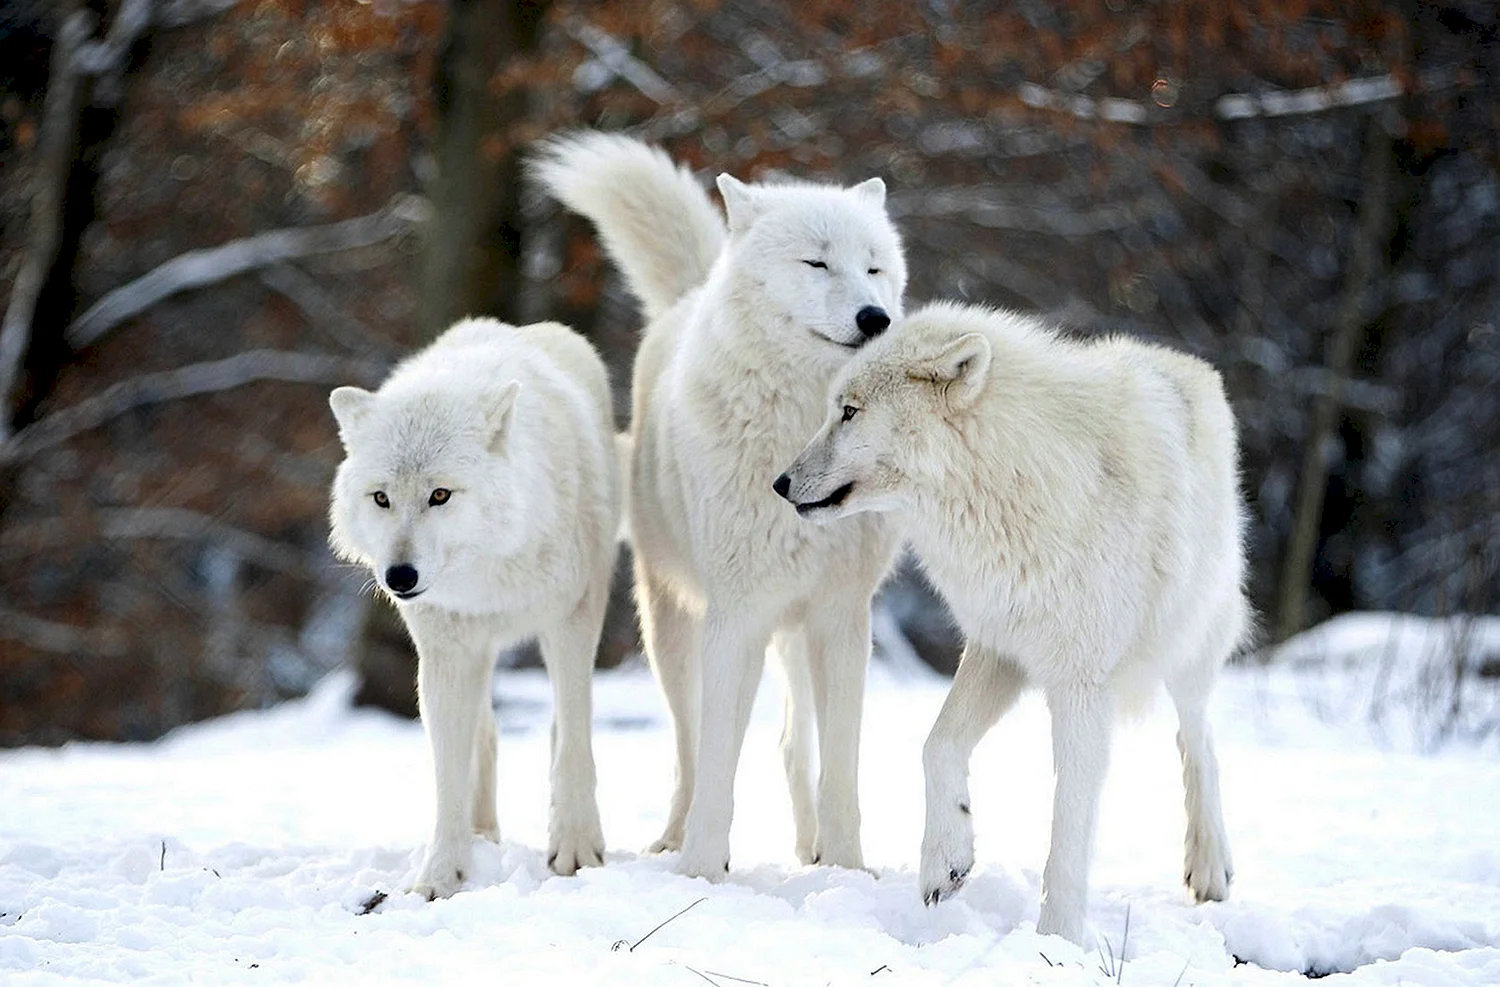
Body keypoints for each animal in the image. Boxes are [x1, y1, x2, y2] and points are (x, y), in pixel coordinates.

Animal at [325, 316, 618, 900]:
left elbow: (574, 744)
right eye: (381, 498)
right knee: (487, 734)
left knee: (559, 730)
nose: (400, 577)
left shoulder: (571, 621)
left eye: (440, 495)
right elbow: (448, 775)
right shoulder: (445, 652)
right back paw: (483, 836)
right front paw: (442, 876)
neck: (488, 573)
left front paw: (576, 849)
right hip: (476, 656)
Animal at [540, 132, 912, 876]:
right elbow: (716, 762)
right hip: (673, 627)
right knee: (687, 746)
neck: (800, 434)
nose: (876, 318)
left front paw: (848, 869)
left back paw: (812, 850)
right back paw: (674, 839)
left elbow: (842, 769)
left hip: (794, 635)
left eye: (875, 268)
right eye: (817, 262)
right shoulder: (737, 614)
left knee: (795, 744)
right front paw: (703, 872)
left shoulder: (842, 617)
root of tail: (690, 293)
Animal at [774, 301, 1242, 948]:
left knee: (1198, 739)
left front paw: (1058, 940)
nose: (780, 483)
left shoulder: (1080, 685)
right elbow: (937, 745)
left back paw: (1210, 864)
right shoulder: (998, 648)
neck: (1007, 481)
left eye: (848, 412)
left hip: (1188, 645)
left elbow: (1069, 824)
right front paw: (945, 860)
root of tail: (1190, 365)